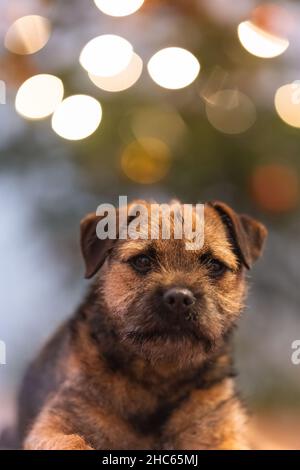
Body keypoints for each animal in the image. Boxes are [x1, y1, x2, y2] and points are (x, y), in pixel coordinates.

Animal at [17, 200, 268, 450]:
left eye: (214, 265)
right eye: (143, 261)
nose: (179, 298)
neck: (160, 376)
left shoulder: (222, 431)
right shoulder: (54, 425)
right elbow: (74, 442)